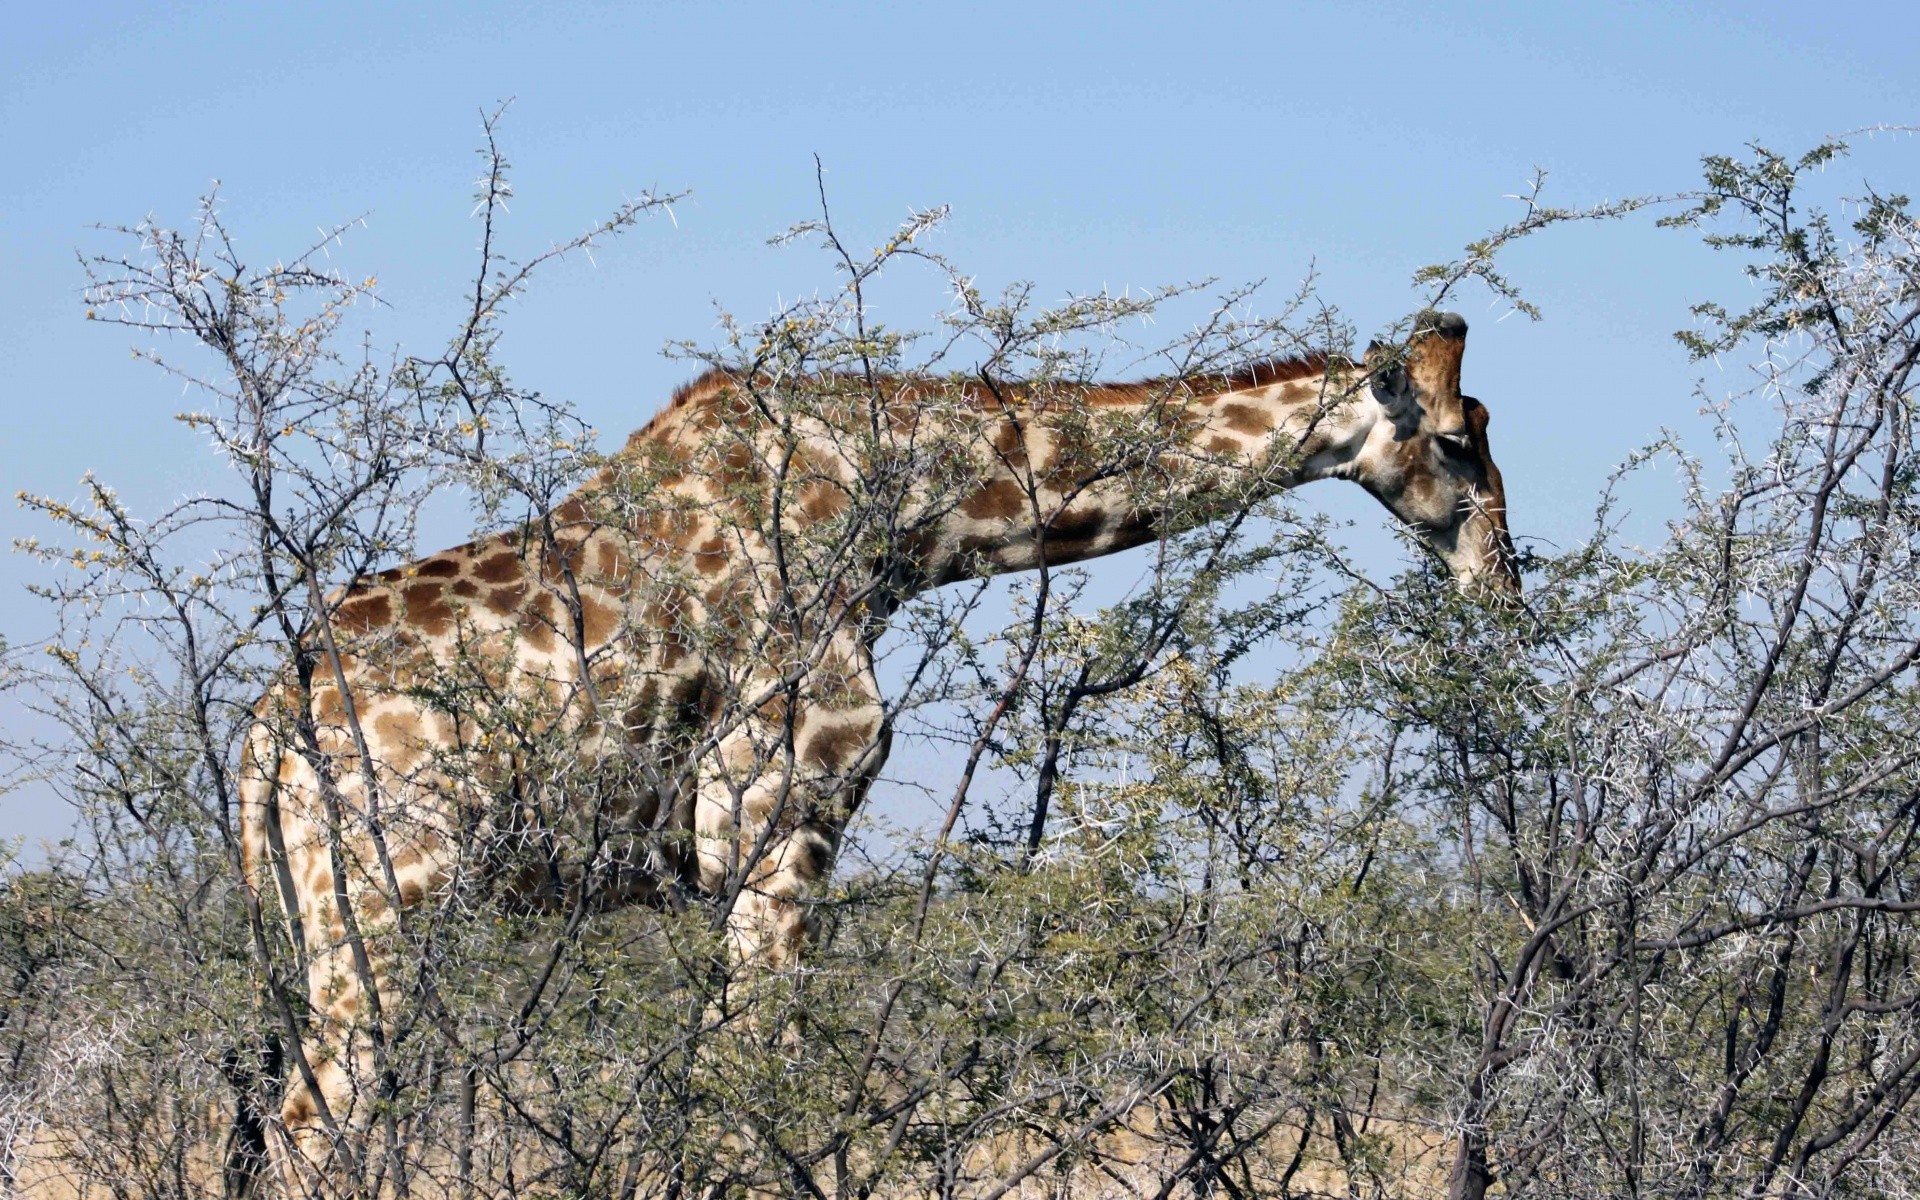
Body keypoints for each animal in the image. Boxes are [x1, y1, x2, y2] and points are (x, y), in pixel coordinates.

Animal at [236, 309, 1512, 1167]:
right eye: (1457, 439)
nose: (1500, 576)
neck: (893, 517)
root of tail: (263, 737)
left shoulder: (717, 864)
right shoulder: (786, 811)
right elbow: (760, 1085)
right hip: (389, 892)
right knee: (315, 1121)